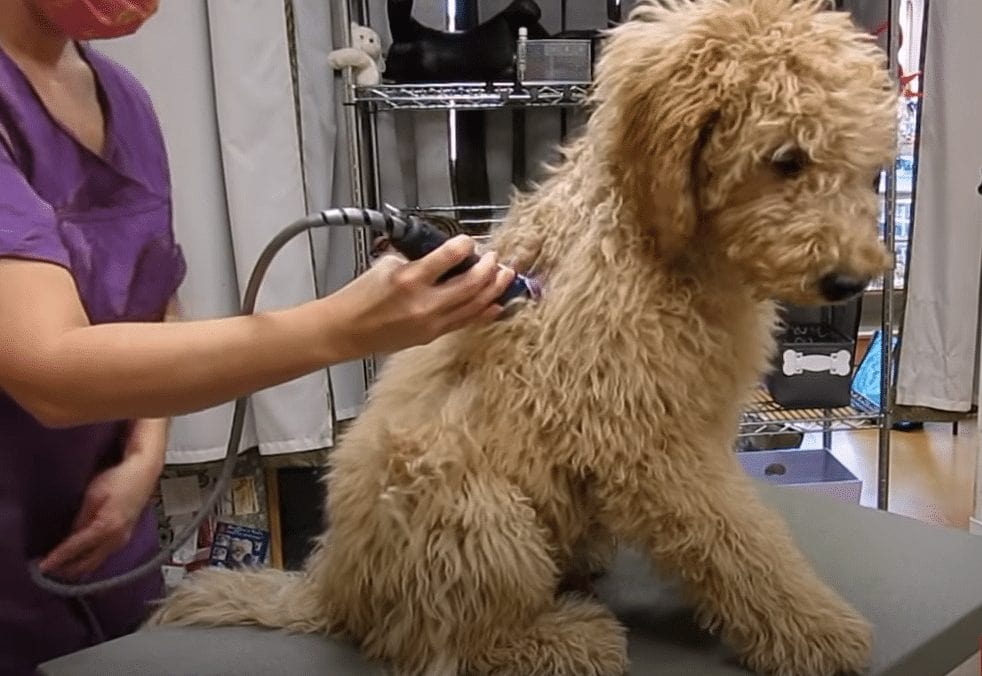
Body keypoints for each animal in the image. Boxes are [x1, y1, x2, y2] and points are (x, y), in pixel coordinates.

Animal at [152, 1, 900, 676]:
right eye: (786, 159)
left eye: (865, 168)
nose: (850, 280)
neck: (653, 238)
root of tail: (333, 586)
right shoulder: (649, 443)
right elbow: (739, 542)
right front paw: (813, 628)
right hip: (472, 507)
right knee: (439, 646)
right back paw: (568, 639)